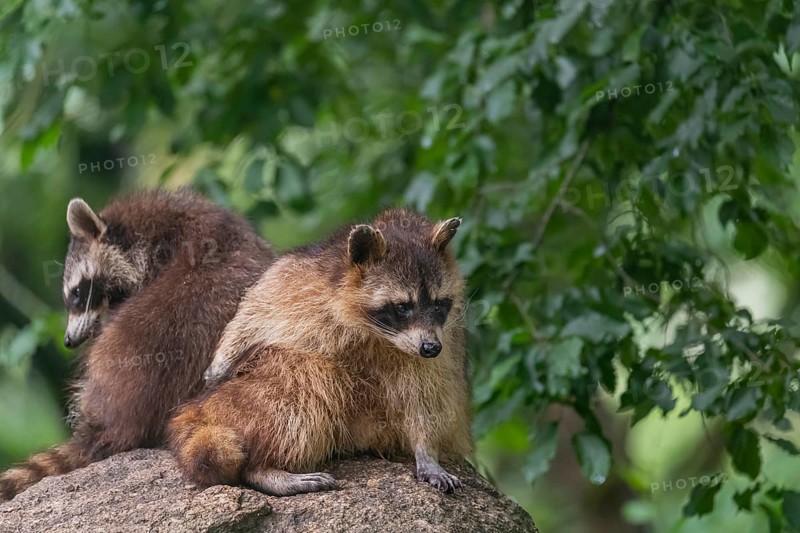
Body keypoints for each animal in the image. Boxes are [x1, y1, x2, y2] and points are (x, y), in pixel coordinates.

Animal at [169, 209, 471, 497]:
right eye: (402, 307)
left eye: (439, 304)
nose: (430, 348)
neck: (378, 335)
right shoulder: (301, 277)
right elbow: (257, 308)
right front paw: (223, 358)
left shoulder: (441, 347)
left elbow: (427, 395)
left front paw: (426, 450)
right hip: (236, 403)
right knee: (303, 380)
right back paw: (265, 468)